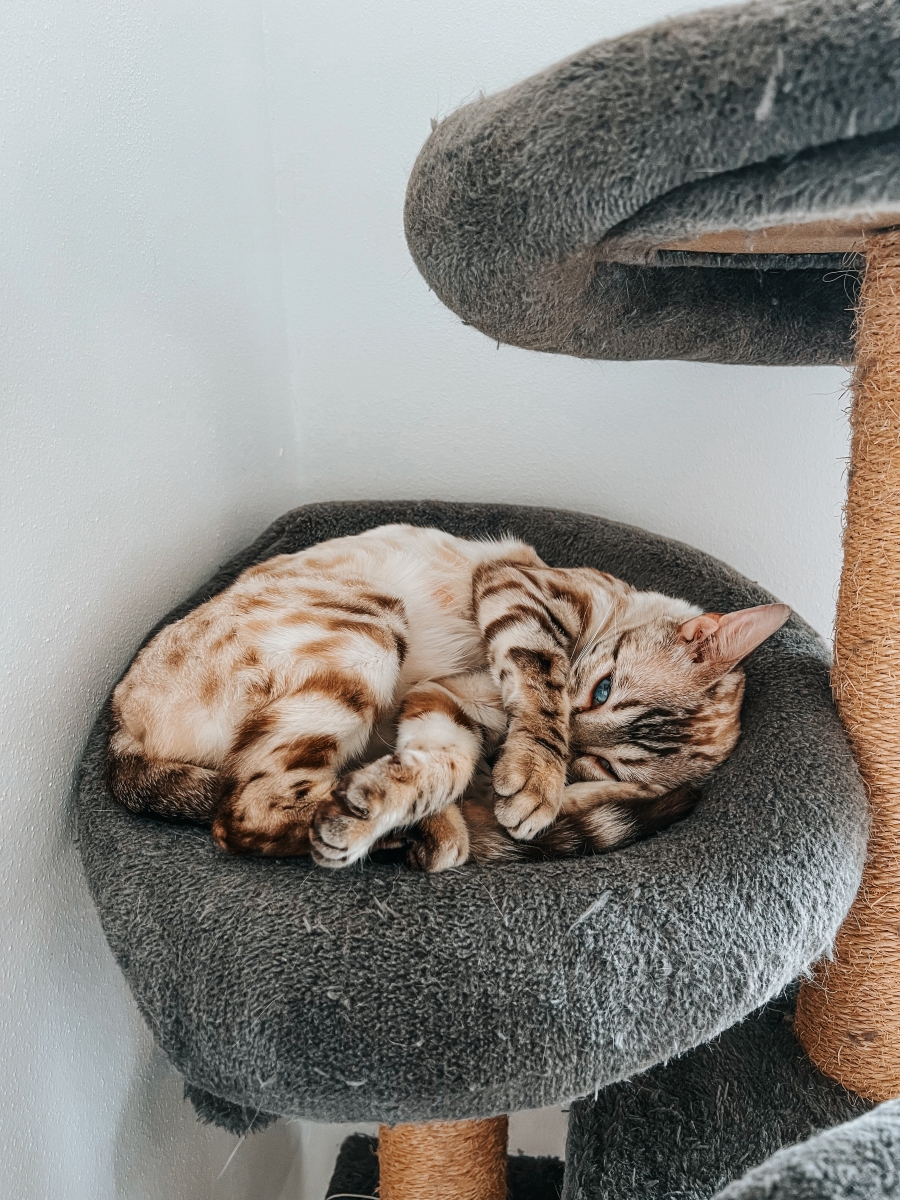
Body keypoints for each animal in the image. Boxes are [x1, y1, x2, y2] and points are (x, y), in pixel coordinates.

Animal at [106, 524, 790, 872]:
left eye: (598, 762)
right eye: (600, 690)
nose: (575, 755)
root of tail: (119, 729)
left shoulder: (442, 702)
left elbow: (442, 763)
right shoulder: (519, 590)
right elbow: (539, 684)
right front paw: (534, 780)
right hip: (371, 629)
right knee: (244, 813)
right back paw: (407, 833)